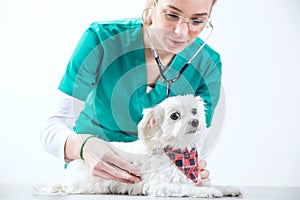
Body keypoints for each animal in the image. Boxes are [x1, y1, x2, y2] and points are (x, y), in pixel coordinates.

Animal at [35, 95, 241, 197]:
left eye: (194, 111)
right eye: (174, 116)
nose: (196, 121)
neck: (178, 153)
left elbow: (210, 183)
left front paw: (226, 188)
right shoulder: (161, 185)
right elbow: (189, 189)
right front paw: (208, 191)